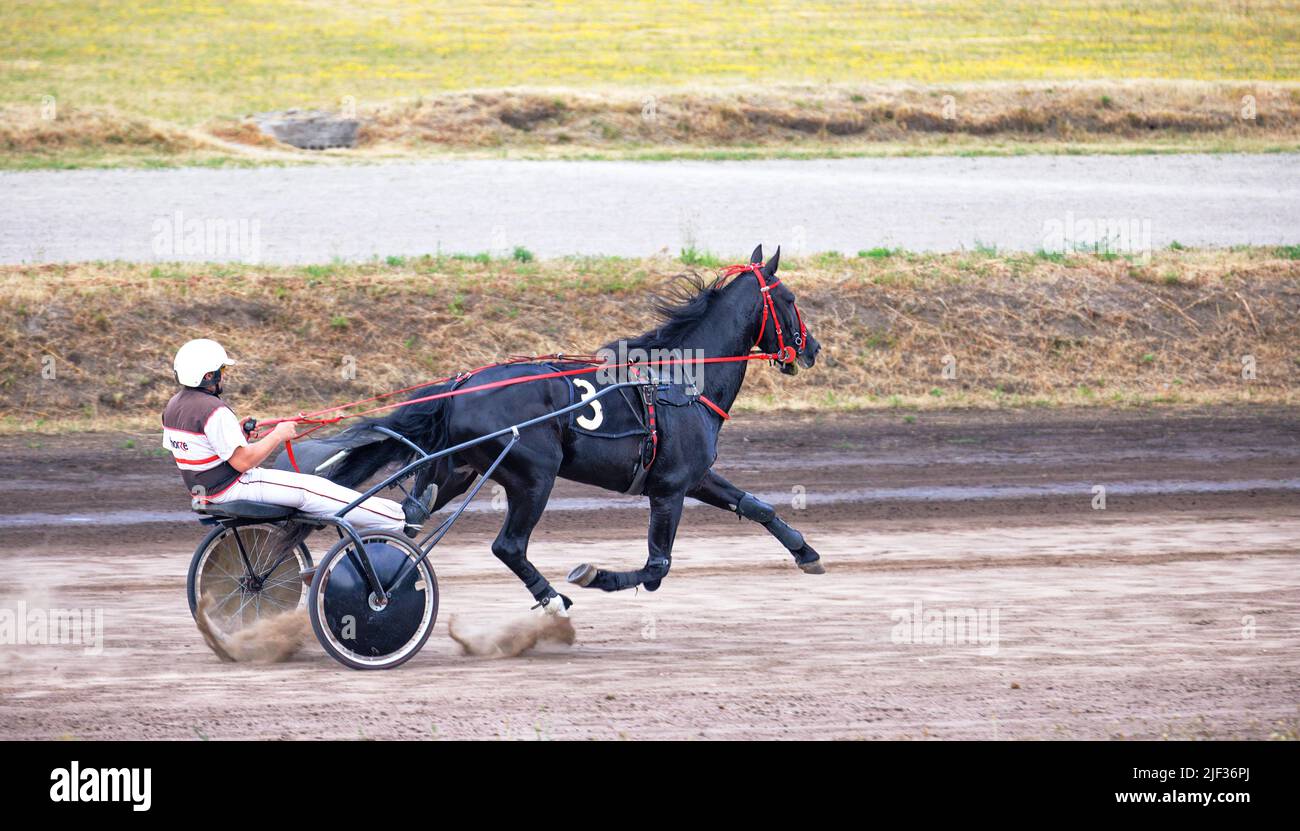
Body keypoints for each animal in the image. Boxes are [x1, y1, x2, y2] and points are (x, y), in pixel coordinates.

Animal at [330, 247, 821, 611]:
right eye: (790, 298)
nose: (812, 348)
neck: (680, 382)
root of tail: (460, 386)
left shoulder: (693, 477)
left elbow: (756, 506)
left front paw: (806, 553)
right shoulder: (670, 488)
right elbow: (657, 567)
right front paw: (594, 575)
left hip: (454, 473)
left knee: (407, 525)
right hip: (534, 476)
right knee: (507, 546)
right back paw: (551, 598)